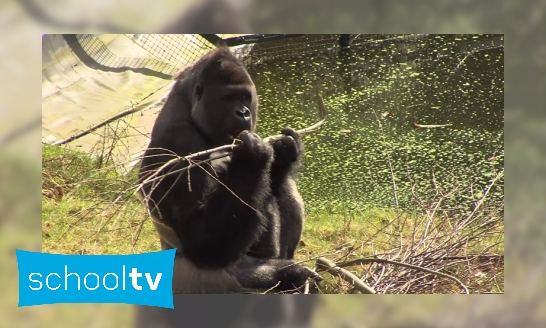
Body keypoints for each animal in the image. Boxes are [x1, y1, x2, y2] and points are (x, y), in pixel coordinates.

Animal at [138, 46, 316, 294]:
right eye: (228, 98)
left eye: (245, 97)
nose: (243, 113)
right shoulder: (178, 142)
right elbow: (201, 242)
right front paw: (252, 157)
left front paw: (284, 151)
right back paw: (289, 274)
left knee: (282, 190)